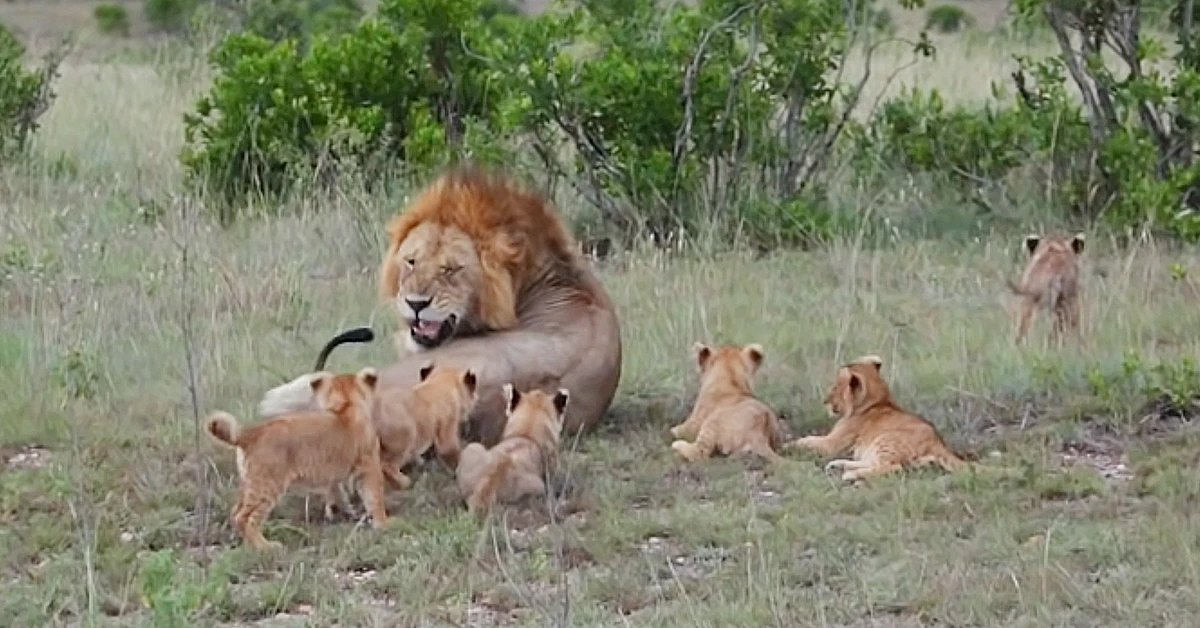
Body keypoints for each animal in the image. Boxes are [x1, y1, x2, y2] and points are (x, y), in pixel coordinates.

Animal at [787, 355, 964, 485]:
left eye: (836, 387)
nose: (825, 401)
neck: (877, 399)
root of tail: (938, 442)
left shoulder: (832, 443)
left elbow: (809, 440)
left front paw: (790, 445)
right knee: (874, 462)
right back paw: (838, 465)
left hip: (886, 440)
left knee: (892, 467)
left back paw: (850, 475)